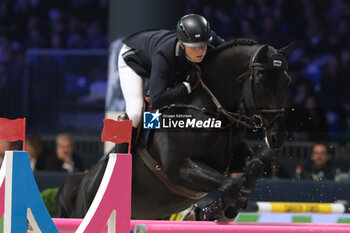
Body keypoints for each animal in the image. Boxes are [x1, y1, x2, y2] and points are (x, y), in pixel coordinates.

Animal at [57, 38, 292, 220]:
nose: (277, 137)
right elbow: (228, 185)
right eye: (261, 80)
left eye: (287, 81)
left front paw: (222, 209)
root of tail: (81, 183)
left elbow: (255, 166)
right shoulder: (178, 168)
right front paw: (218, 210)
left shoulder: (228, 159)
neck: (207, 109)